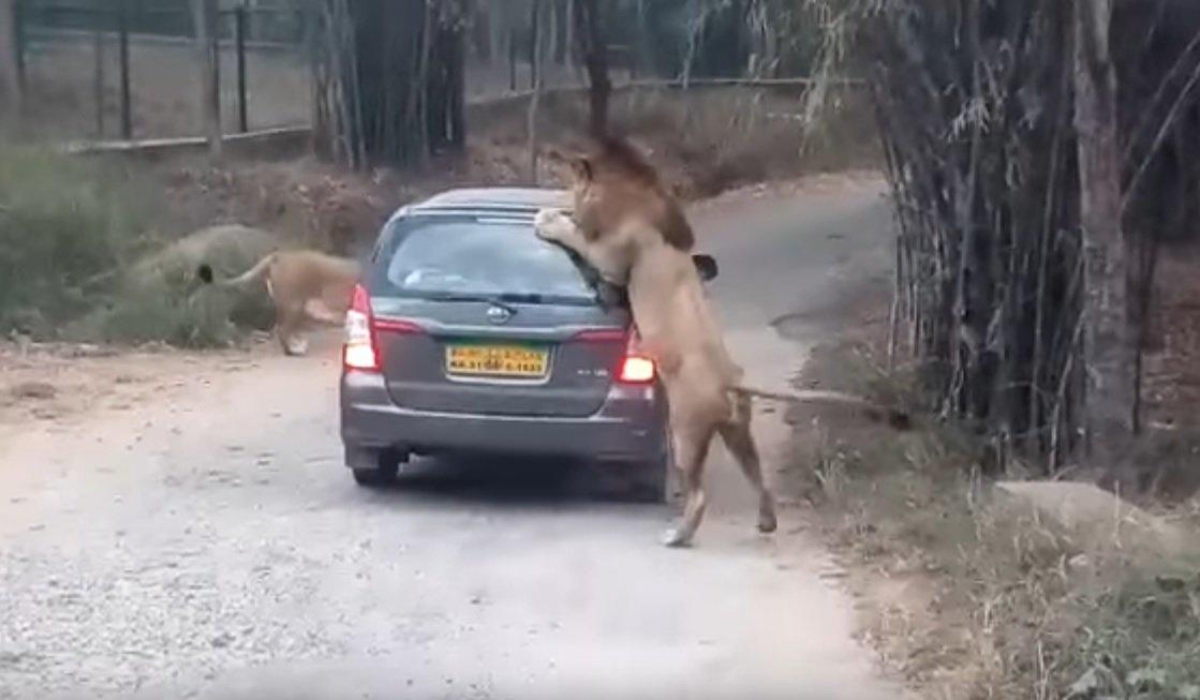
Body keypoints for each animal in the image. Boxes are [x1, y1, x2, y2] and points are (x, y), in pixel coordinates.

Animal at [197, 250, 360, 356]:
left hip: (293, 306)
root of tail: (280, 256)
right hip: (295, 304)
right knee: (283, 331)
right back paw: (294, 351)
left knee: (283, 330)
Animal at [535, 137, 906, 548]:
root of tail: (730, 381)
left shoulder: (612, 260)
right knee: (758, 476)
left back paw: (677, 535)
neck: (629, 194)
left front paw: (549, 220)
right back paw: (766, 521)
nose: (563, 192)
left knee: (698, 494)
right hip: (738, 431)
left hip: (686, 428)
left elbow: (579, 238)